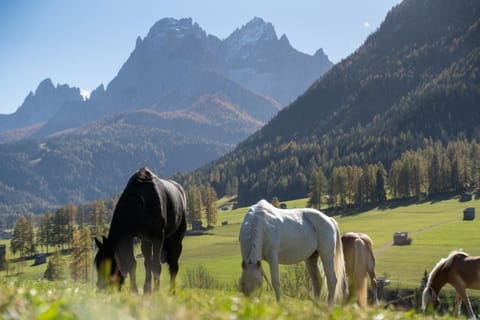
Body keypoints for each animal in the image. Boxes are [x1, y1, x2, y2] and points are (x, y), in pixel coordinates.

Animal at [94, 166, 186, 294]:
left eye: (108, 263)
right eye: (97, 264)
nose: (101, 288)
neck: (141, 204)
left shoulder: (158, 237)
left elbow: (156, 266)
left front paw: (156, 291)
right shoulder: (132, 237)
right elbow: (132, 263)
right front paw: (136, 291)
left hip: (176, 239)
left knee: (173, 266)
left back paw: (172, 291)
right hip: (146, 241)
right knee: (148, 262)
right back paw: (148, 288)